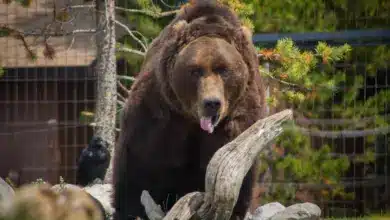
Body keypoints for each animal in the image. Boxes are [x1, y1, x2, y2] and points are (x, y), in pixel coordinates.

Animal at [111, 0, 266, 219]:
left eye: (224, 70)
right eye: (195, 70)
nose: (212, 103)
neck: (192, 121)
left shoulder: (239, 121)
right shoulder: (159, 113)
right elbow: (138, 166)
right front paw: (130, 209)